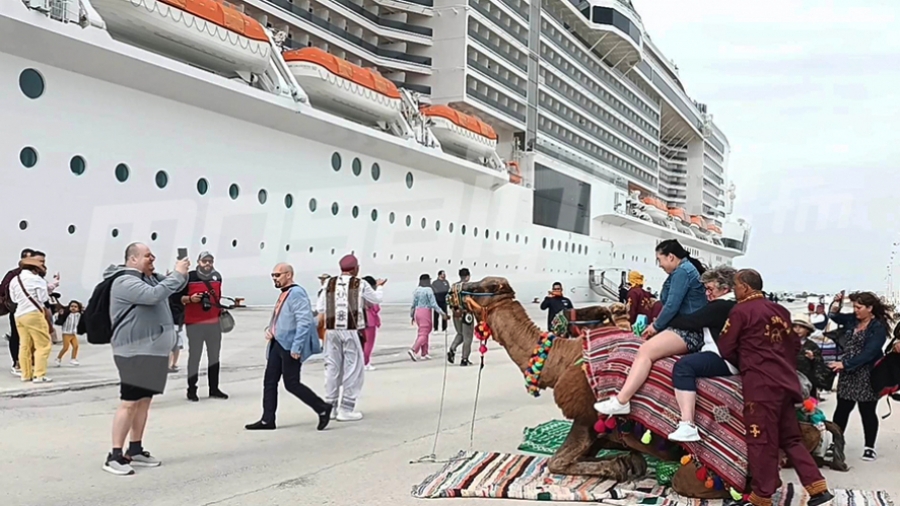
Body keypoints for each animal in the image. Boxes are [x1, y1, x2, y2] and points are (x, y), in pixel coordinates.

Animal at [460, 276, 848, 494]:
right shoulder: (599, 428)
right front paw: (626, 463)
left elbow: (557, 462)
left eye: (481, 286)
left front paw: (620, 466)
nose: (454, 290)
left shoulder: (585, 417)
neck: (560, 358)